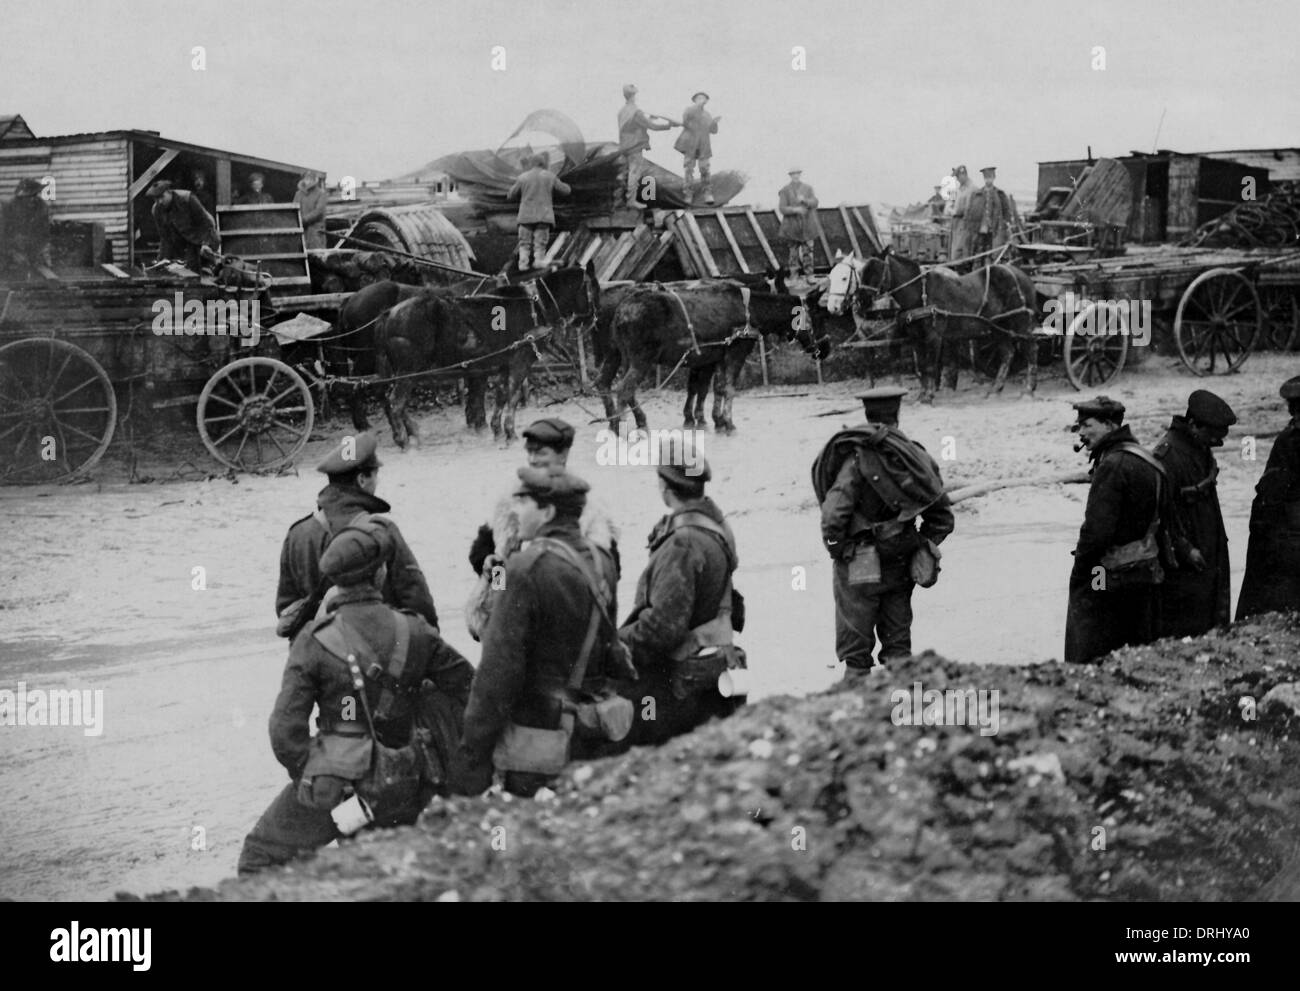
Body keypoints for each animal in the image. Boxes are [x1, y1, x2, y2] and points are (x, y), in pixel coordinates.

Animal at [600, 279, 826, 431]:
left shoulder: (717, 356)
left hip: (621, 356)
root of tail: (621, 310)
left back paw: (622, 422)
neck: (751, 311)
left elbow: (715, 388)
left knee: (611, 385)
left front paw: (716, 419)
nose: (825, 349)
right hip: (642, 359)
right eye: (817, 316)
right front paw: (728, 422)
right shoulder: (736, 352)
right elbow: (729, 388)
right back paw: (622, 425)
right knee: (624, 389)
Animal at [847, 247, 1040, 400]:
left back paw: (1028, 390)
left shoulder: (934, 336)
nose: (860, 301)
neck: (920, 293)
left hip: (1021, 322)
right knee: (1008, 353)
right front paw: (922, 395)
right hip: (998, 326)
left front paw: (928, 397)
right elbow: (922, 367)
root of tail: (1022, 275)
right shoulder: (916, 338)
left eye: (877, 271)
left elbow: (930, 366)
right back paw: (995, 390)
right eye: (861, 272)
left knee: (1031, 349)